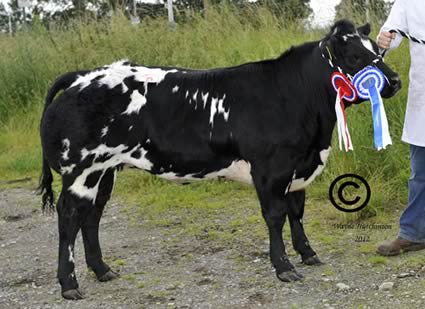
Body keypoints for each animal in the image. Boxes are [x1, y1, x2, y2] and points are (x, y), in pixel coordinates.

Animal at [38, 19, 400, 298]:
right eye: (355, 55)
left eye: (377, 50)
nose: (395, 81)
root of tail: (83, 76)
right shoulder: (271, 170)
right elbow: (275, 216)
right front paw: (283, 267)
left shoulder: (299, 167)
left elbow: (296, 212)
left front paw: (308, 254)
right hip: (81, 169)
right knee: (69, 217)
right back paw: (69, 284)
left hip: (105, 171)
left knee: (91, 216)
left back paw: (102, 270)